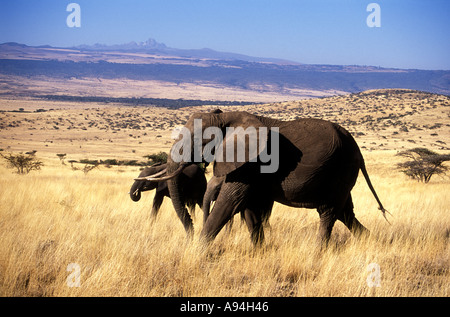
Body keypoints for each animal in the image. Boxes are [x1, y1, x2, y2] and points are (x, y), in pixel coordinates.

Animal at [152, 110, 390, 246]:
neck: (227, 116)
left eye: (199, 141)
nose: (189, 235)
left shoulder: (251, 162)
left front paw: (198, 253)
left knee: (328, 212)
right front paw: (259, 252)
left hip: (340, 168)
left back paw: (318, 253)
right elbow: (247, 207)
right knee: (345, 212)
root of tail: (358, 150)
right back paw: (372, 242)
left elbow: (231, 201)